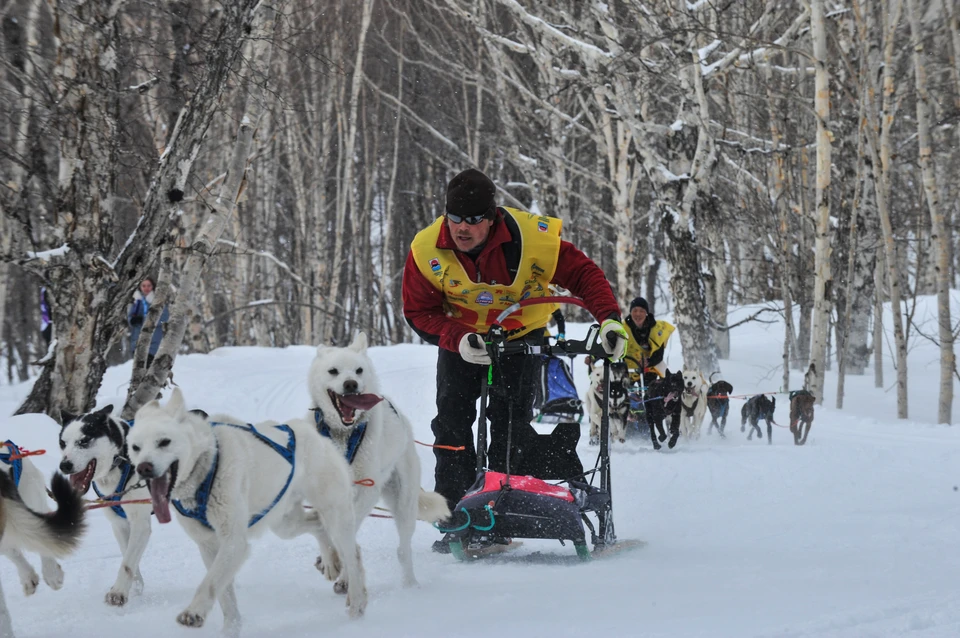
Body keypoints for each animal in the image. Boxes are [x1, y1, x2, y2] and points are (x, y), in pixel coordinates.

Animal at [57, 408, 154, 608]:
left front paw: (118, 592)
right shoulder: (119, 523)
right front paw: (136, 586)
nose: (64, 465)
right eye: (62, 443)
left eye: (84, 440)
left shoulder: (140, 523)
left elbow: (127, 562)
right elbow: (127, 555)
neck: (123, 458)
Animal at [127, 388, 368, 636]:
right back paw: (331, 560)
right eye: (136, 447)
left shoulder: (234, 542)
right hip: (285, 524)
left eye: (164, 442)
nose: (143, 467)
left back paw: (357, 601)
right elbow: (225, 595)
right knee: (319, 525)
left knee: (352, 554)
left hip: (334, 514)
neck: (207, 466)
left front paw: (194, 612)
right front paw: (230, 629)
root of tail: (311, 432)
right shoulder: (208, 545)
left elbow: (210, 582)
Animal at [312, 332, 454, 592]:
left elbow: (345, 532)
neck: (343, 435)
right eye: (333, 371)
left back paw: (410, 584)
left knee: (403, 550)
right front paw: (333, 563)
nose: (351, 384)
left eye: (358, 370)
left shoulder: (367, 490)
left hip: (404, 504)